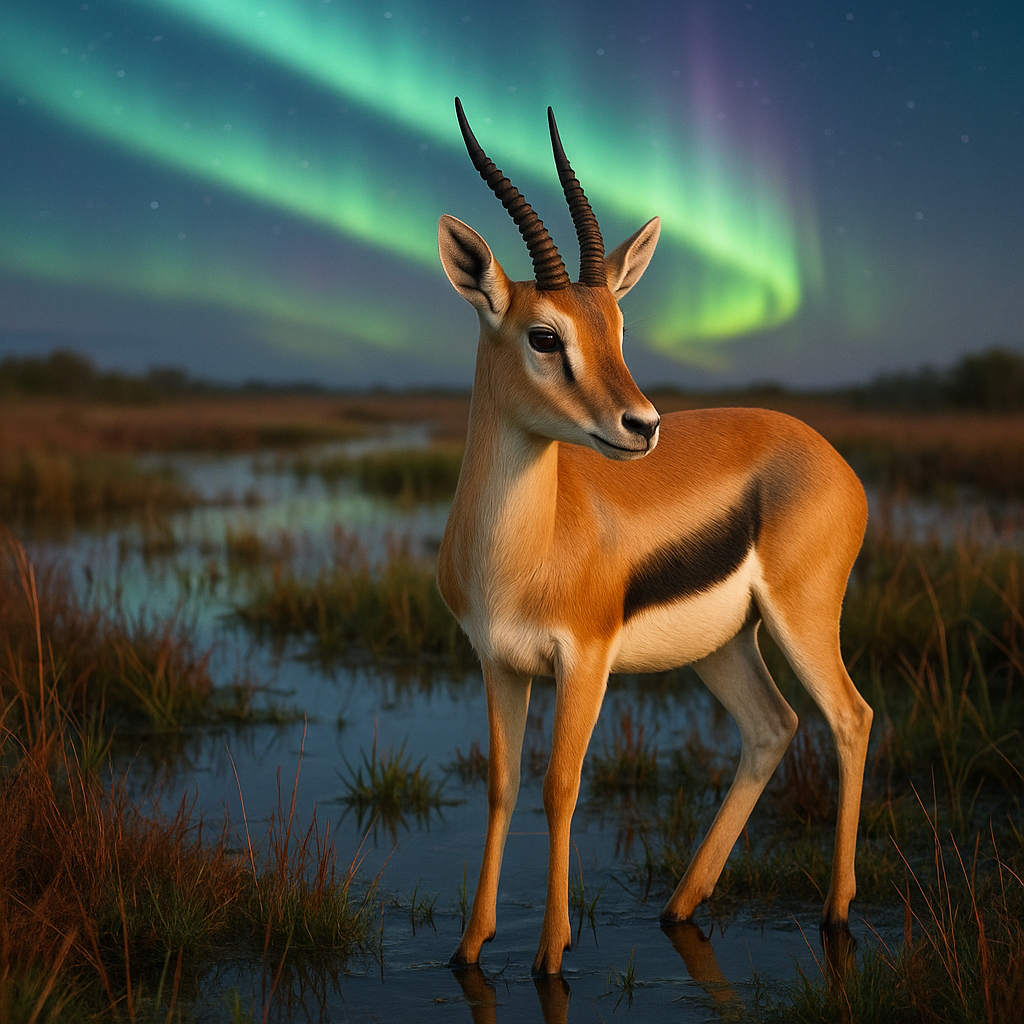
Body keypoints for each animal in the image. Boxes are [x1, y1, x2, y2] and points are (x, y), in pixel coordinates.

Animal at [437, 98, 872, 977]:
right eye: (544, 335)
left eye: (618, 326)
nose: (641, 425)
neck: (518, 552)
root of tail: (829, 455)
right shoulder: (498, 661)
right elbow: (502, 784)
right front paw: (469, 948)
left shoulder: (585, 659)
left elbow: (560, 786)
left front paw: (551, 953)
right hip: (725, 645)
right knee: (773, 726)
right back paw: (680, 905)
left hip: (801, 620)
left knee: (850, 717)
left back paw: (837, 912)